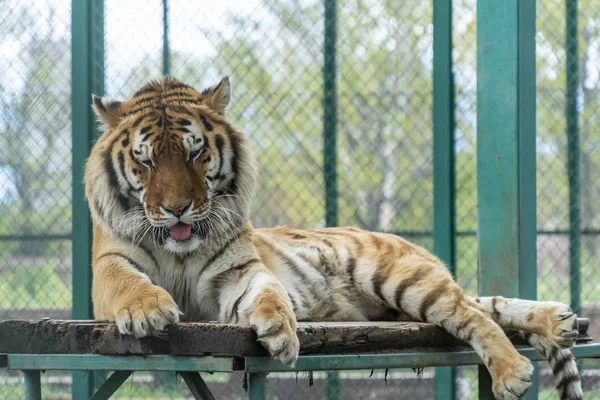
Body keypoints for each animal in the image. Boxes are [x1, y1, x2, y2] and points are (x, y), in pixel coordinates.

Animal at [86, 76, 584, 398]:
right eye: (146, 161)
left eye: (196, 153)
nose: (177, 209)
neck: (179, 250)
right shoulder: (110, 264)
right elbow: (126, 282)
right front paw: (148, 310)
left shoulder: (239, 270)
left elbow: (269, 292)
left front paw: (281, 330)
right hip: (403, 301)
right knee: (481, 303)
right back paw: (558, 321)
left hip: (402, 279)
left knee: (471, 313)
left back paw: (514, 368)